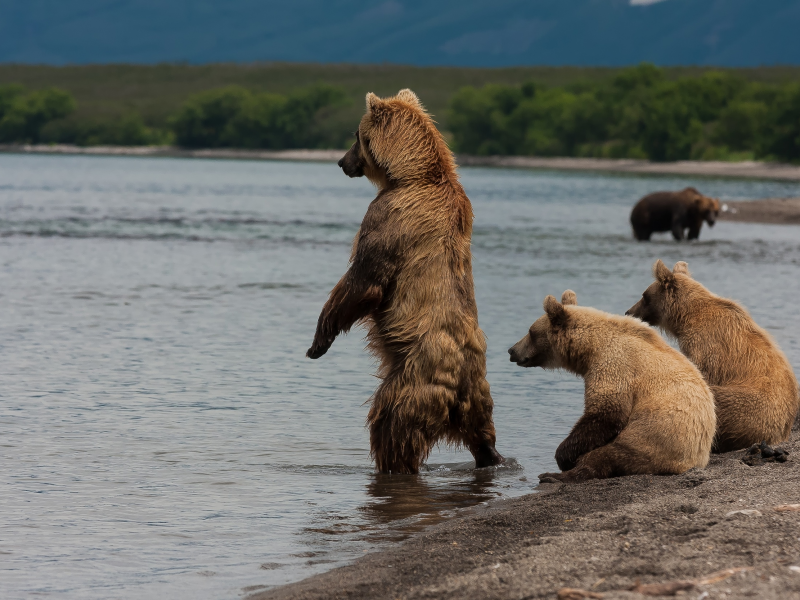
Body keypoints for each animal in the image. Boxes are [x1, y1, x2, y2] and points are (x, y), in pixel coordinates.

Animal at [304, 89, 504, 474]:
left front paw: (318, 342)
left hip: (413, 379)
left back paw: (392, 463)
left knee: (391, 424)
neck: (410, 175)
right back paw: (492, 459)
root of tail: (458, 384)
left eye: (356, 136)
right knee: (483, 433)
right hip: (478, 394)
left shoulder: (389, 217)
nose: (341, 162)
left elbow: (364, 279)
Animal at [510, 290, 716, 482]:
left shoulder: (614, 365)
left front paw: (564, 457)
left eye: (530, 332)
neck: (590, 349)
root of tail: (694, 462)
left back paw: (553, 475)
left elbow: (606, 413)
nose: (512, 350)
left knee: (606, 455)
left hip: (653, 440)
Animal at [628, 260, 796, 452]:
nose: (629, 311)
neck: (685, 317)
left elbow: (700, 375)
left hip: (752, 406)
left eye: (644, 296)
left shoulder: (705, 345)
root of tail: (781, 433)